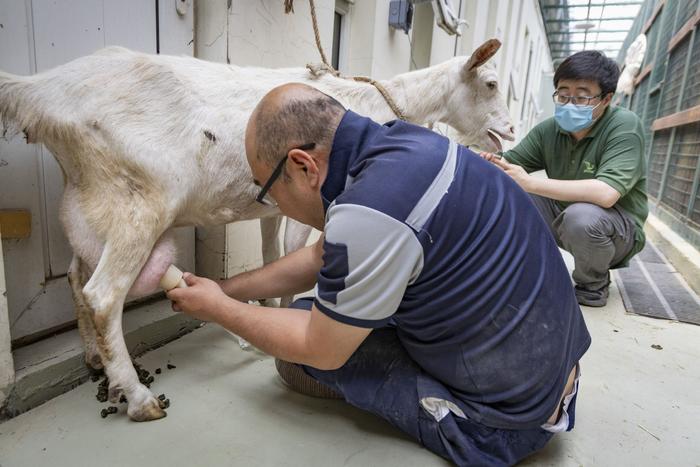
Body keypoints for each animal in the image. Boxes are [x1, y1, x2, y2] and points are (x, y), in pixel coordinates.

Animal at [0, 39, 516, 420]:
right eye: (490, 83)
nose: (510, 132)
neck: (378, 103)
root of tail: (44, 92)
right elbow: (294, 253)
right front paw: (283, 319)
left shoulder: (272, 204)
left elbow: (273, 256)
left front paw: (265, 313)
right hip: (137, 205)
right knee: (104, 293)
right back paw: (140, 398)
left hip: (86, 199)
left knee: (74, 277)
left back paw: (94, 361)